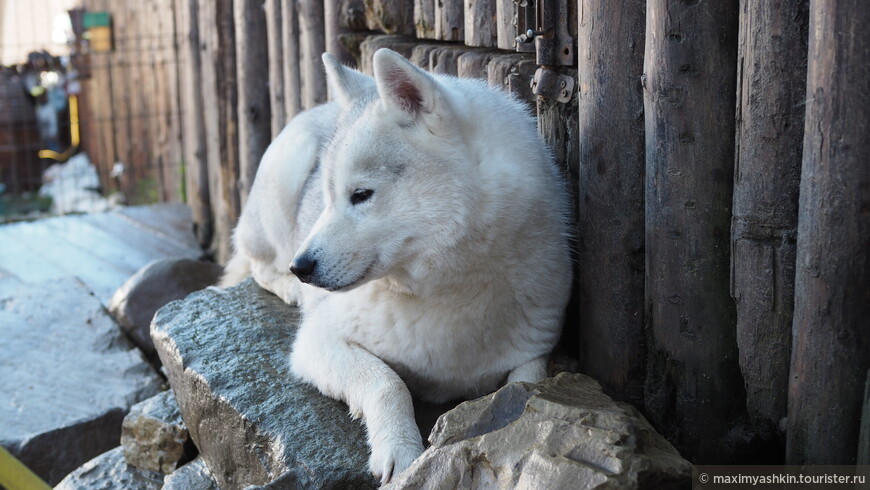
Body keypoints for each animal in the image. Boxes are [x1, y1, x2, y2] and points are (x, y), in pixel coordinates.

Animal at [221, 47, 576, 484]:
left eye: (361, 194)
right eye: (328, 197)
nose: (300, 267)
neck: (445, 291)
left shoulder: (534, 350)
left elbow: (526, 388)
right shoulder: (316, 342)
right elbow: (387, 383)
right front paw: (401, 451)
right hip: (283, 181)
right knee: (256, 260)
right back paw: (286, 287)